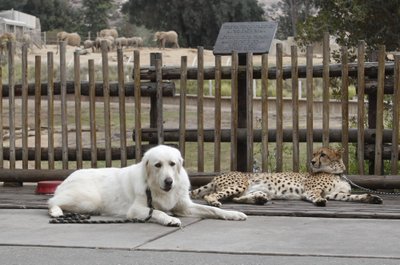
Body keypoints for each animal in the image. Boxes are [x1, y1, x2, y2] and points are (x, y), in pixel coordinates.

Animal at [47, 144, 247, 225]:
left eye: (172, 164)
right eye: (157, 165)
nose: (169, 181)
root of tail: (67, 178)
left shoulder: (185, 208)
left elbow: (213, 210)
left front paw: (233, 214)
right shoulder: (136, 210)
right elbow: (158, 212)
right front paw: (170, 220)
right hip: (89, 200)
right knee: (52, 201)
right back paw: (56, 212)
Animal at [191, 146, 384, 206]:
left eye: (322, 154)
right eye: (314, 154)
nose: (312, 162)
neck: (336, 173)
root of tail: (217, 176)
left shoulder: (336, 194)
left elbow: (353, 196)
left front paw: (371, 198)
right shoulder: (312, 190)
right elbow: (315, 195)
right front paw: (319, 201)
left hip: (254, 190)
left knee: (237, 199)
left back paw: (259, 199)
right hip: (239, 184)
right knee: (211, 195)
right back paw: (214, 202)